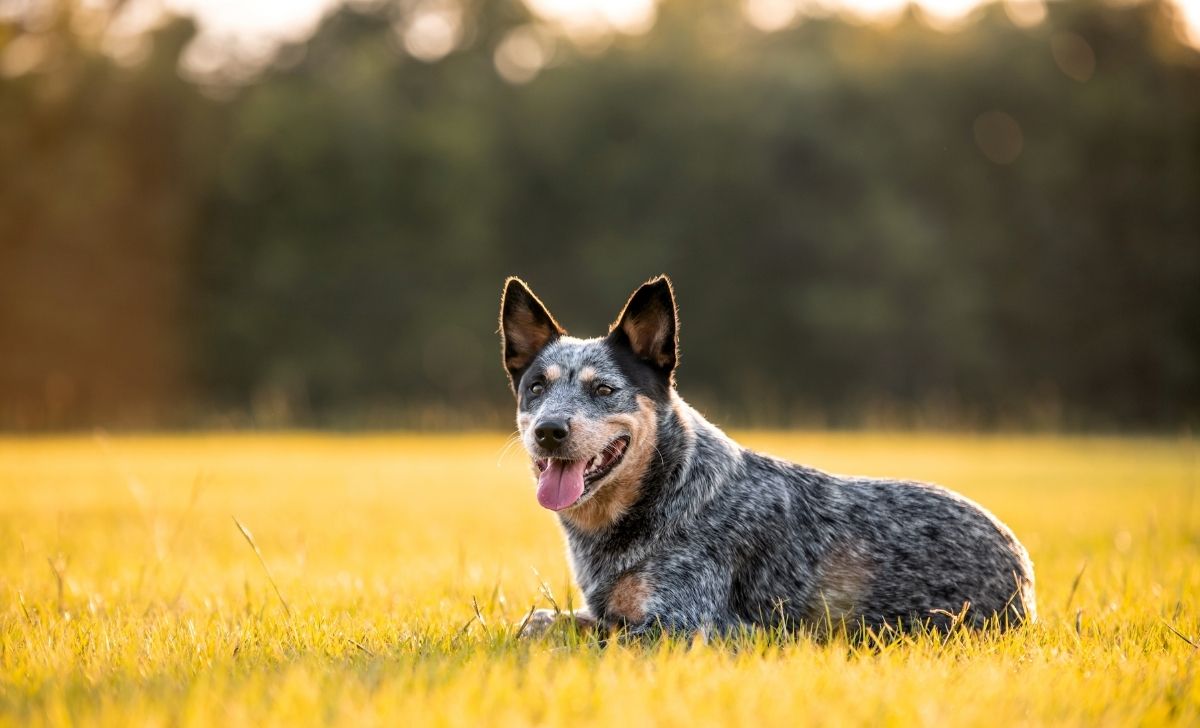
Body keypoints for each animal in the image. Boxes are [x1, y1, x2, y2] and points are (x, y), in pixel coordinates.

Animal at [501, 275, 1036, 642]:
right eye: (537, 387)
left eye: (604, 389)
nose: (549, 431)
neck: (668, 492)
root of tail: (1020, 561)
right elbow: (538, 620)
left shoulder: (687, 626)